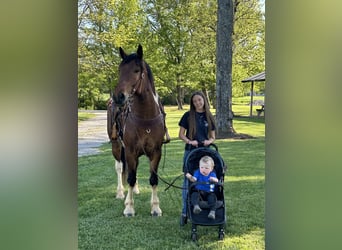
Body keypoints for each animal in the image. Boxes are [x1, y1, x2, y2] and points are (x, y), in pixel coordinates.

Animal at [107, 45, 168, 217]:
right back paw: (121, 192)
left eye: (136, 70)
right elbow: (130, 177)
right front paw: (129, 208)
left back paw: (136, 190)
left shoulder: (156, 151)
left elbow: (153, 178)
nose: (118, 97)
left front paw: (155, 208)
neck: (145, 117)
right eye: (120, 70)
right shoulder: (130, 150)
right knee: (120, 168)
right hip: (117, 146)